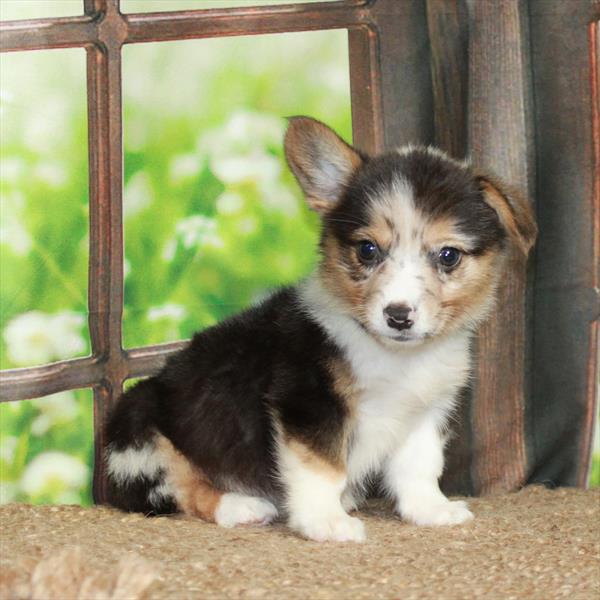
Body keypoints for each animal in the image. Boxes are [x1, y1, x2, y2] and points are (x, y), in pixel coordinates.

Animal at [105, 115, 536, 540]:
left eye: (448, 256)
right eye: (367, 250)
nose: (398, 315)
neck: (394, 356)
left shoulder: (424, 411)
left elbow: (420, 468)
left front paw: (431, 510)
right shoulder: (309, 405)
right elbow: (322, 471)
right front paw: (325, 522)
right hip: (143, 434)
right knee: (181, 490)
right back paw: (242, 507)